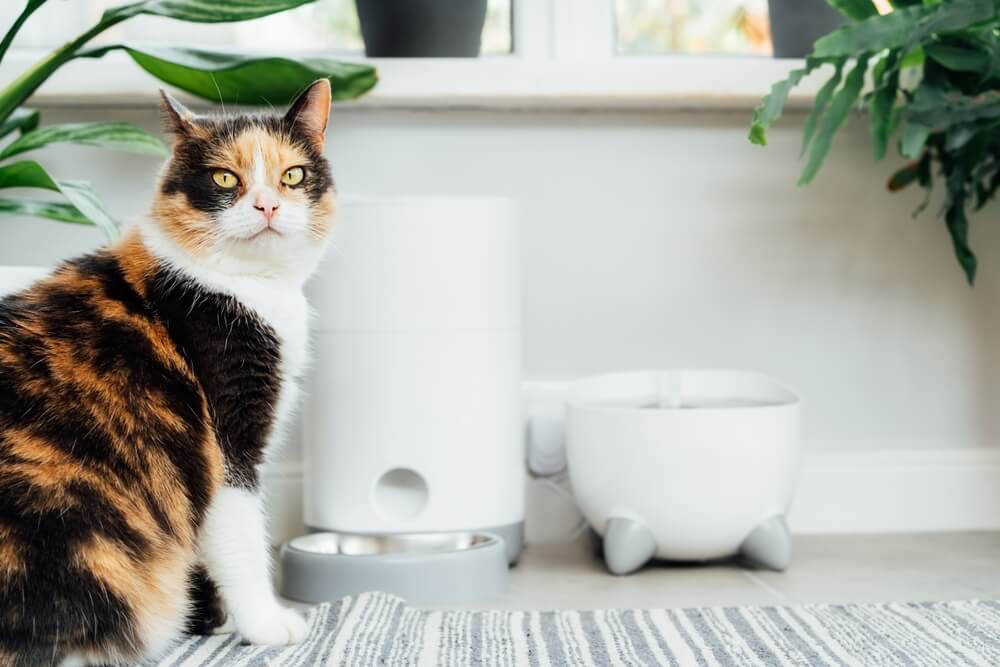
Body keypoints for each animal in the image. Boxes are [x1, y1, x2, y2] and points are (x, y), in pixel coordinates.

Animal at [0, 81, 336, 664]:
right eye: (225, 178)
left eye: (293, 175)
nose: (268, 204)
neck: (252, 289)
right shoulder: (227, 436)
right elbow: (240, 536)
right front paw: (266, 625)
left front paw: (219, 619)